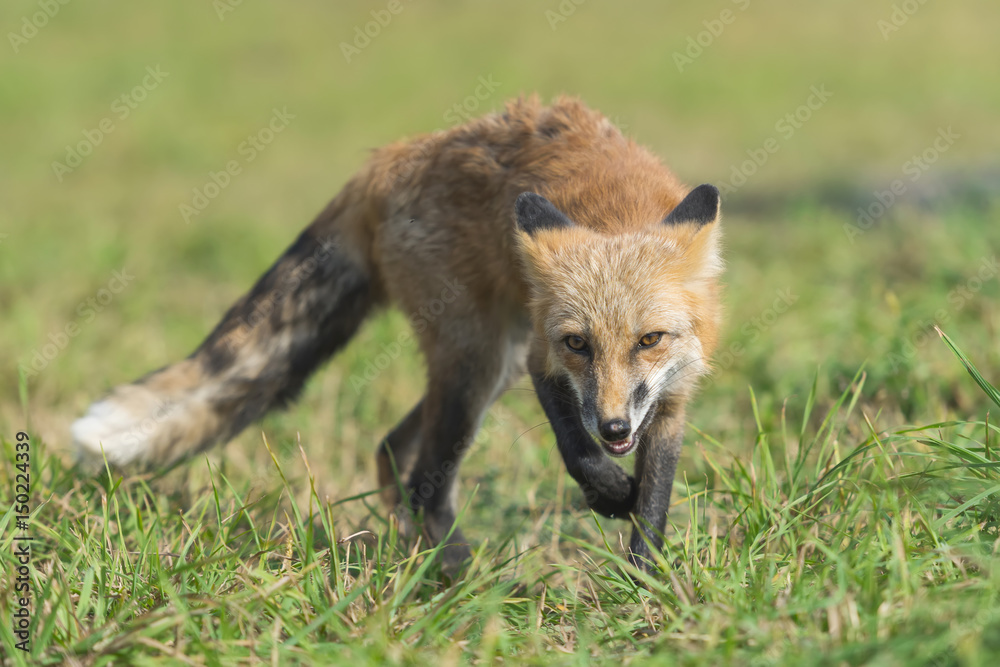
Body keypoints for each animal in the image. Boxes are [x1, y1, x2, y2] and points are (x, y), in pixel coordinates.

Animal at [74, 96, 724, 572]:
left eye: (649, 340)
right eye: (578, 344)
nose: (614, 428)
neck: (617, 213)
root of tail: (391, 155)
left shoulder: (671, 396)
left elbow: (655, 500)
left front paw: (646, 586)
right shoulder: (542, 358)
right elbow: (576, 447)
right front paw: (607, 494)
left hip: (485, 366)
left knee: (393, 451)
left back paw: (414, 549)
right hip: (481, 360)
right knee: (425, 479)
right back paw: (463, 576)